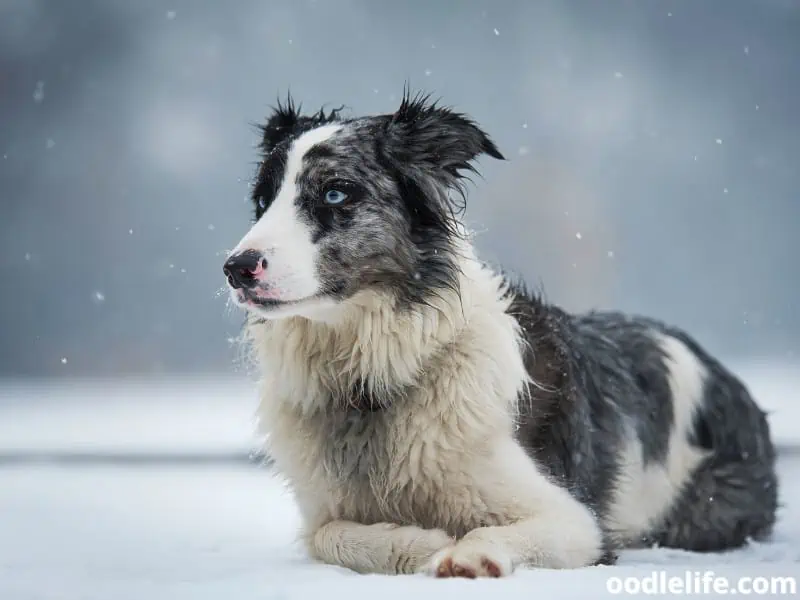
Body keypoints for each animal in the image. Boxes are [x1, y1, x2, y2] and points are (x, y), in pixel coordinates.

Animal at [222, 90, 780, 576]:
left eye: (335, 192)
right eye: (262, 201)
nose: (236, 268)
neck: (371, 379)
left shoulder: (576, 521)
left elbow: (492, 530)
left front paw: (468, 555)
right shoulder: (324, 511)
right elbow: (331, 536)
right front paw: (417, 542)